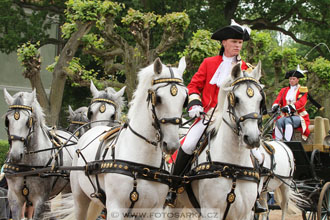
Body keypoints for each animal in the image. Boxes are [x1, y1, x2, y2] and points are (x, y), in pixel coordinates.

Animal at [2, 88, 76, 219]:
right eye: (7, 121)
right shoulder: (14, 198)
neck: (26, 167)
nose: (15, 155)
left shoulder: (41, 200)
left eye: (28, 121)